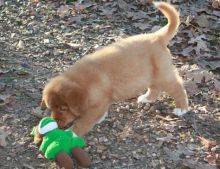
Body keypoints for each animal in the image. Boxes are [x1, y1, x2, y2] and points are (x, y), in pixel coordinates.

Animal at [41, 2, 189, 136]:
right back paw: (147, 98)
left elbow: (83, 122)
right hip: (151, 75)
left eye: (63, 108)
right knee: (155, 88)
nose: (56, 123)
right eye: (51, 108)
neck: (81, 82)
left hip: (163, 75)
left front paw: (71, 134)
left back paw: (181, 108)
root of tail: (157, 36)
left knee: (178, 87)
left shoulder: (96, 105)